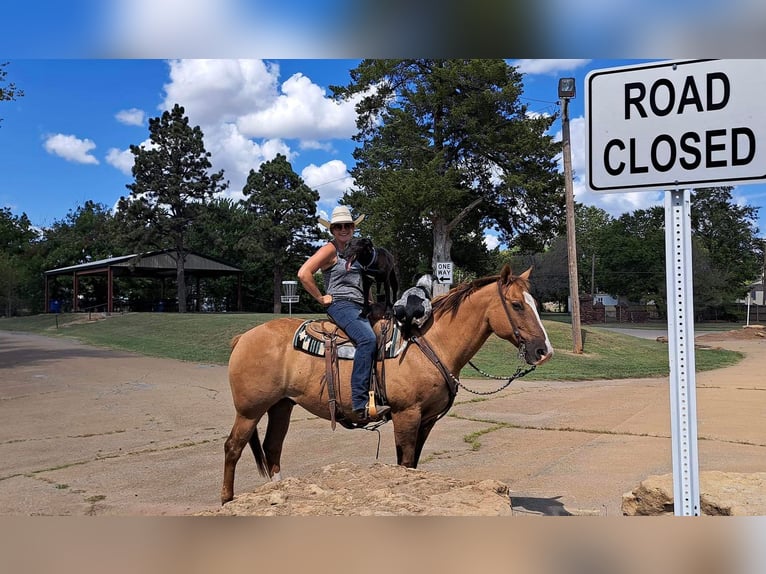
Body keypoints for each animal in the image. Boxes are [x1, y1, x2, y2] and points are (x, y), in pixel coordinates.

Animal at [222, 266, 552, 504]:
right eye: (516, 305)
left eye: (535, 304)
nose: (543, 351)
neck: (430, 343)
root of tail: (243, 337)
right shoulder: (407, 415)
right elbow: (404, 464)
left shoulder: (426, 420)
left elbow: (413, 465)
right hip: (249, 410)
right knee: (233, 447)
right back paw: (227, 500)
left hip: (281, 405)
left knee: (272, 447)